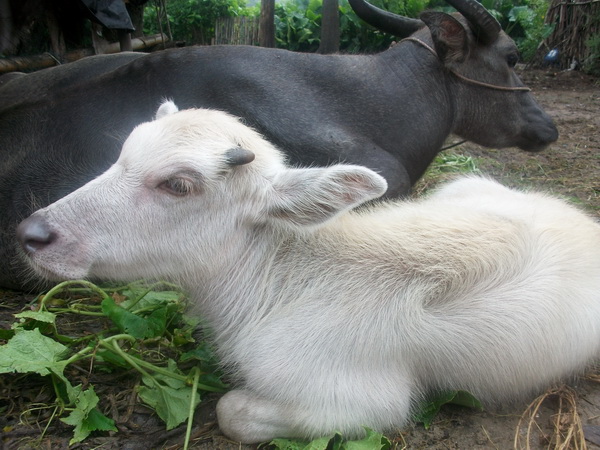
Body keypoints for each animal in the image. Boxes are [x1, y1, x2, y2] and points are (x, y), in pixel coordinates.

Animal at [16, 102, 600, 442]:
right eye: (121, 154)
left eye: (178, 185)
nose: (32, 233)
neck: (284, 281)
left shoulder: (361, 403)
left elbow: (232, 410)